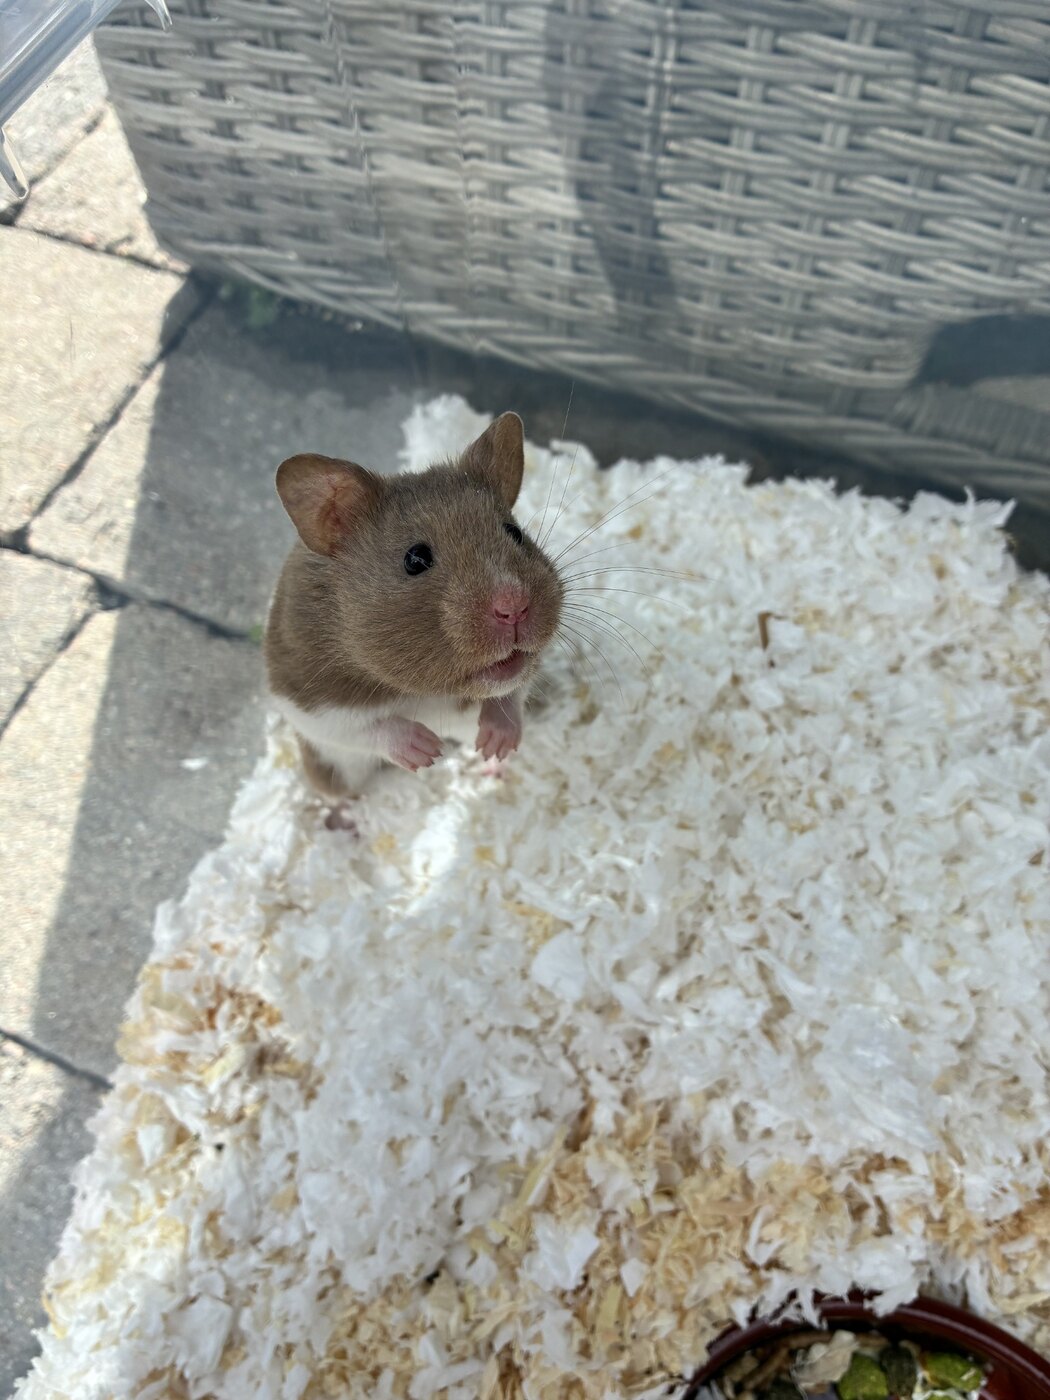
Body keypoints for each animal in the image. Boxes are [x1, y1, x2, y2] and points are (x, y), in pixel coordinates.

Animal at [265, 412, 565, 803]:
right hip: (334, 766)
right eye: (415, 559)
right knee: (338, 788)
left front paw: (496, 742)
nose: (514, 608)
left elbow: (513, 690)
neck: (432, 691)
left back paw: (494, 766)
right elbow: (361, 726)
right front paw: (426, 751)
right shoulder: (306, 697)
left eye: (514, 532)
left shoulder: (523, 671)